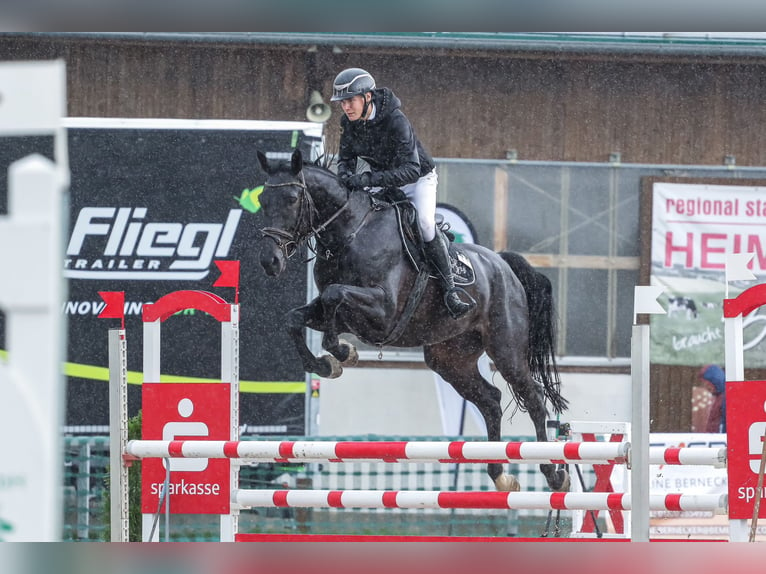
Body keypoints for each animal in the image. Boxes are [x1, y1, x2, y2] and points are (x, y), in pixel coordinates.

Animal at [256, 150, 568, 496]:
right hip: (449, 358)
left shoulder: (384, 312)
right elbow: (297, 317)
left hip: (506, 349)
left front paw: (341, 352)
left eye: (292, 199)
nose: (270, 261)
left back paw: (554, 473)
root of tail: (504, 265)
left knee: (534, 397)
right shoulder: (337, 312)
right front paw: (327, 364)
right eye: (262, 200)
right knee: (490, 400)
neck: (350, 233)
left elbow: (335, 296)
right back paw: (499, 474)